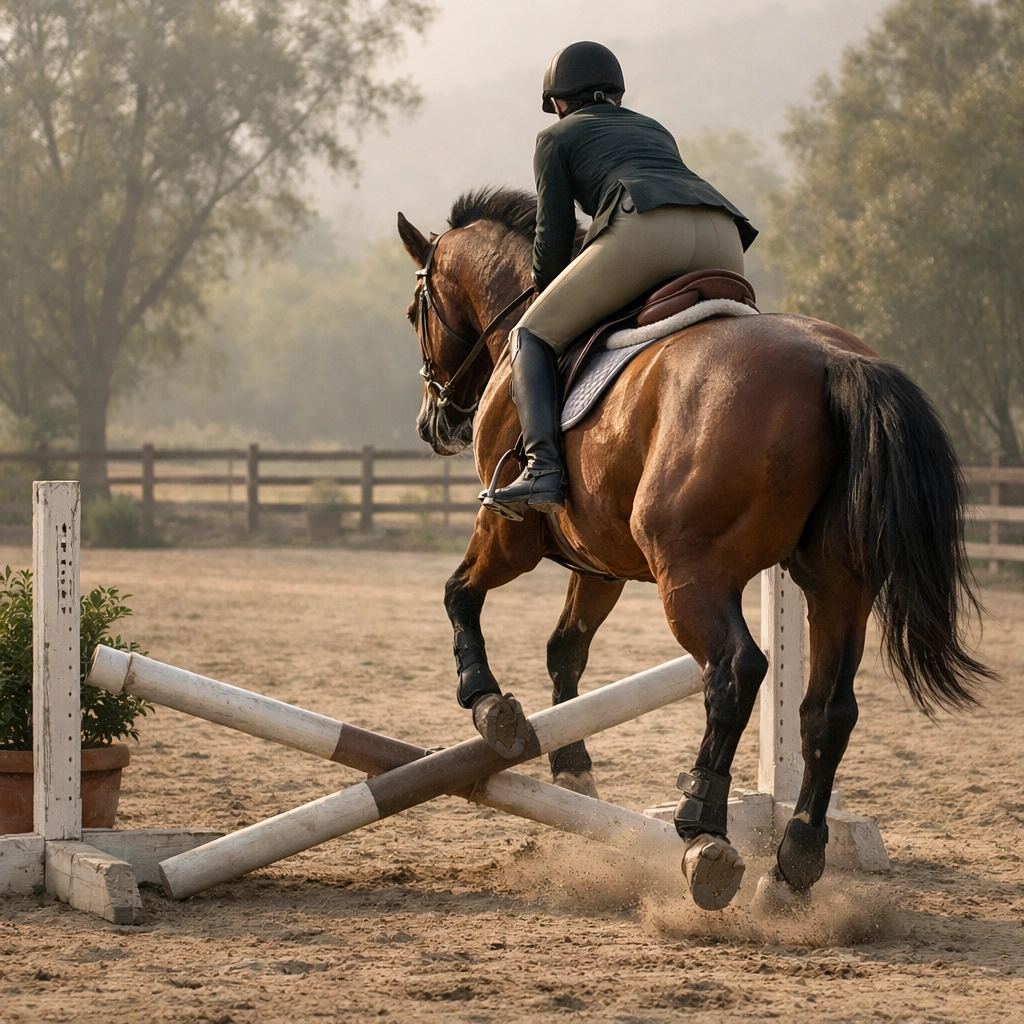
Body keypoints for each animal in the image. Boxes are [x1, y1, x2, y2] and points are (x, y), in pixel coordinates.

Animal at [397, 187, 990, 910]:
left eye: (414, 312)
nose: (434, 425)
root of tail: (834, 363)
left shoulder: (510, 530)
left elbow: (460, 594)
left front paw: (488, 703)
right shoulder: (601, 563)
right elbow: (565, 649)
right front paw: (573, 771)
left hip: (691, 572)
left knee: (735, 670)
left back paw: (704, 832)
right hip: (837, 583)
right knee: (828, 708)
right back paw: (792, 863)